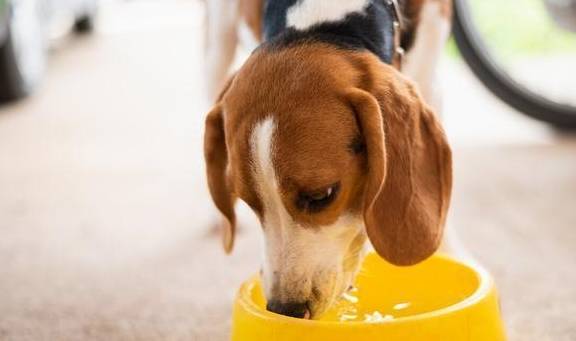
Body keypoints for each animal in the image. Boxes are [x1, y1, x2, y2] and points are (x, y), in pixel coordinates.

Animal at [205, 0, 452, 318]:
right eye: (249, 202)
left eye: (322, 195)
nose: (284, 309)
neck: (320, 22)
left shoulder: (430, 75)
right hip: (217, 42)